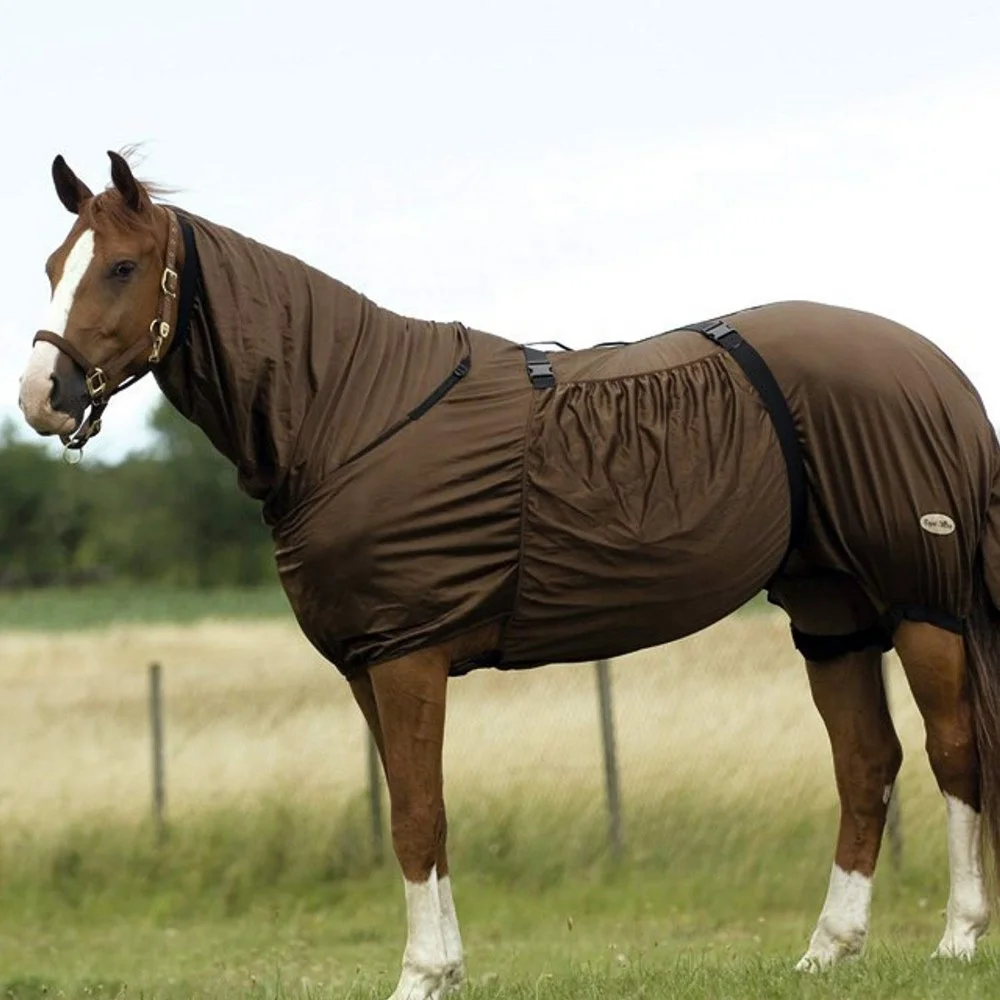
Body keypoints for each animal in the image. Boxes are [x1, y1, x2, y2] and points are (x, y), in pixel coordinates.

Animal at [18, 150, 1000, 1000]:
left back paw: (957, 938)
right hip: (830, 613)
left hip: (923, 606)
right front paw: (445, 970)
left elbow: (417, 816)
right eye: (55, 264)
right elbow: (419, 813)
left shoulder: (406, 656)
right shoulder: (370, 665)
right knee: (865, 762)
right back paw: (827, 952)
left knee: (953, 751)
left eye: (123, 266)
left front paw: (419, 977)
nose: (42, 397)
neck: (348, 412)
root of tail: (935, 366)